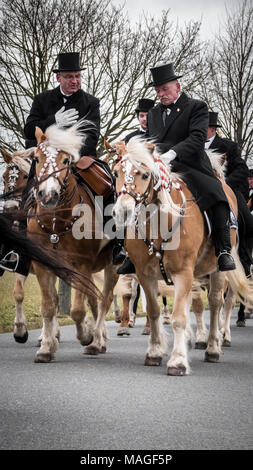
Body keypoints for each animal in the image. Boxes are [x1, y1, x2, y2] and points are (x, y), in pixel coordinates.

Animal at [26, 122, 118, 364]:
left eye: (66, 160)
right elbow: (48, 307)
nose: (48, 195)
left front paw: (86, 336)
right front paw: (46, 348)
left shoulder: (81, 265)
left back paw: (95, 342)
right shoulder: (43, 265)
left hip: (112, 266)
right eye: (37, 158)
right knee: (95, 299)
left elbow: (77, 310)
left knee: (104, 300)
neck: (57, 223)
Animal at [112, 138, 253, 376]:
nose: (123, 211)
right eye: (116, 173)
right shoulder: (145, 274)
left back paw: (213, 346)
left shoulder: (183, 273)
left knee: (216, 304)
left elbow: (179, 318)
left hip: (217, 271)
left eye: (145, 175)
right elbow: (154, 312)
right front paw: (154, 352)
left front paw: (177, 361)